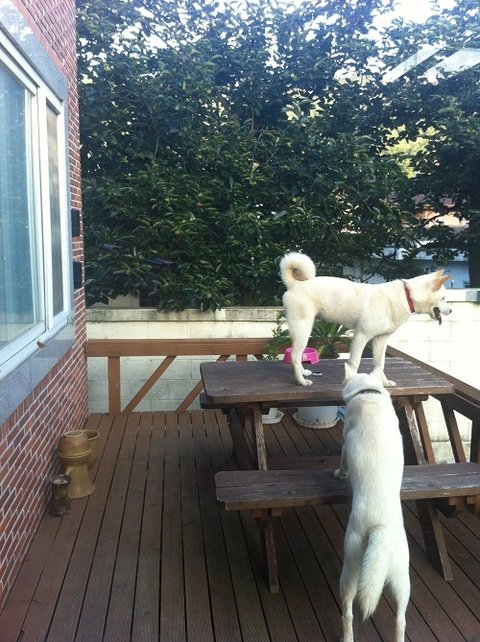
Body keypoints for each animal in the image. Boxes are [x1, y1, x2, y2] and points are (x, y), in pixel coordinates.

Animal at [280, 252, 451, 386]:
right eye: (443, 298)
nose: (451, 310)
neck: (407, 295)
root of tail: (294, 284)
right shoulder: (361, 336)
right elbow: (355, 363)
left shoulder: (381, 340)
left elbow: (380, 364)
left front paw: (384, 382)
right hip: (303, 329)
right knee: (295, 356)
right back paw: (301, 381)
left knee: (298, 354)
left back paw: (303, 373)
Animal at [334, 364, 410, 642]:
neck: (369, 392)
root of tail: (381, 529)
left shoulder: (345, 443)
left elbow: (343, 459)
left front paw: (340, 474)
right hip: (402, 577)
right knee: (401, 619)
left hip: (350, 569)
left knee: (347, 613)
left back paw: (347, 636)